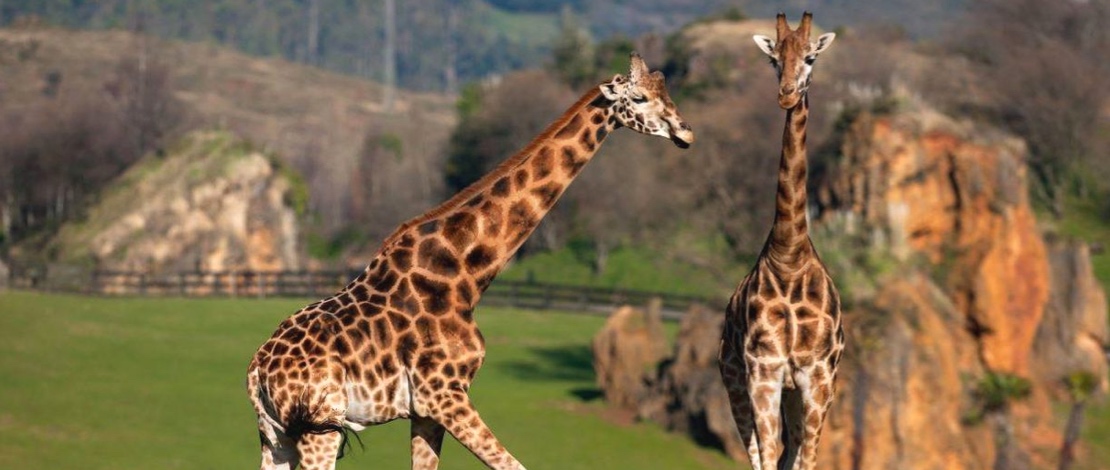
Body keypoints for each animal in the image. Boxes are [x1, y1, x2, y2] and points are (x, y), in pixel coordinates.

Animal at [246, 52, 694, 470]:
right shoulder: (444, 394)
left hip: (276, 435)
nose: (685, 131)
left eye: (666, 92)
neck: (467, 271)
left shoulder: (426, 409)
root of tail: (257, 371)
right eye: (639, 97)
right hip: (319, 429)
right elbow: (514, 465)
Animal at [717, 12, 841, 470]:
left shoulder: (817, 376)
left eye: (810, 57)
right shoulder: (763, 371)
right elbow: (767, 456)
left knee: (792, 451)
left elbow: (806, 459)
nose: (787, 95)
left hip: (798, 391)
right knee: (759, 454)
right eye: (774, 59)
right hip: (736, 380)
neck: (789, 252)